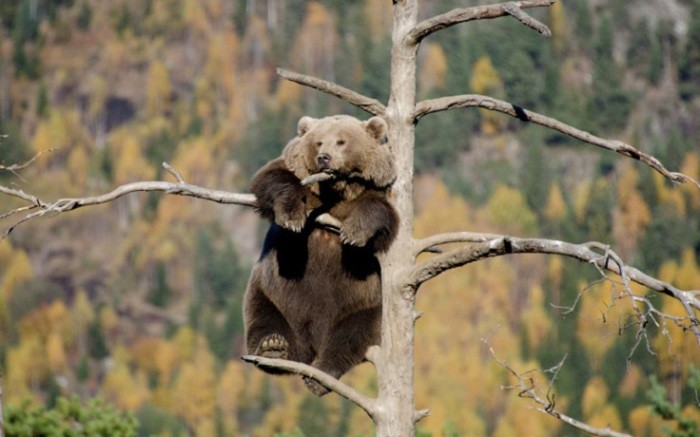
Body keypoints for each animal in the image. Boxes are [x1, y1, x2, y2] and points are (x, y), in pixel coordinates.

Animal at [245, 113, 400, 396]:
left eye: (341, 141)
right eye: (318, 141)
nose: (324, 157)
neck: (336, 190)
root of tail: (311, 344)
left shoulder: (378, 191)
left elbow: (380, 212)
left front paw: (354, 232)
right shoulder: (295, 173)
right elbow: (272, 178)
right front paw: (292, 216)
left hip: (366, 304)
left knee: (351, 336)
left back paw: (320, 376)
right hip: (271, 293)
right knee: (264, 317)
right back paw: (273, 348)